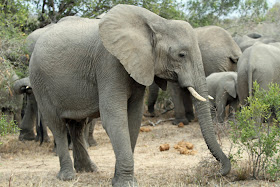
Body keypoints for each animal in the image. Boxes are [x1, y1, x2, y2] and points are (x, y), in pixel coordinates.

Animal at [28, 4, 231, 187]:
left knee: (77, 125)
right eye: (181, 54)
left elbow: (133, 117)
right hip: (39, 82)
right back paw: (68, 177)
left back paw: (88, 169)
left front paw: (119, 180)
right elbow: (114, 117)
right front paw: (126, 183)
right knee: (57, 125)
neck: (157, 22)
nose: (220, 171)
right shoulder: (108, 63)